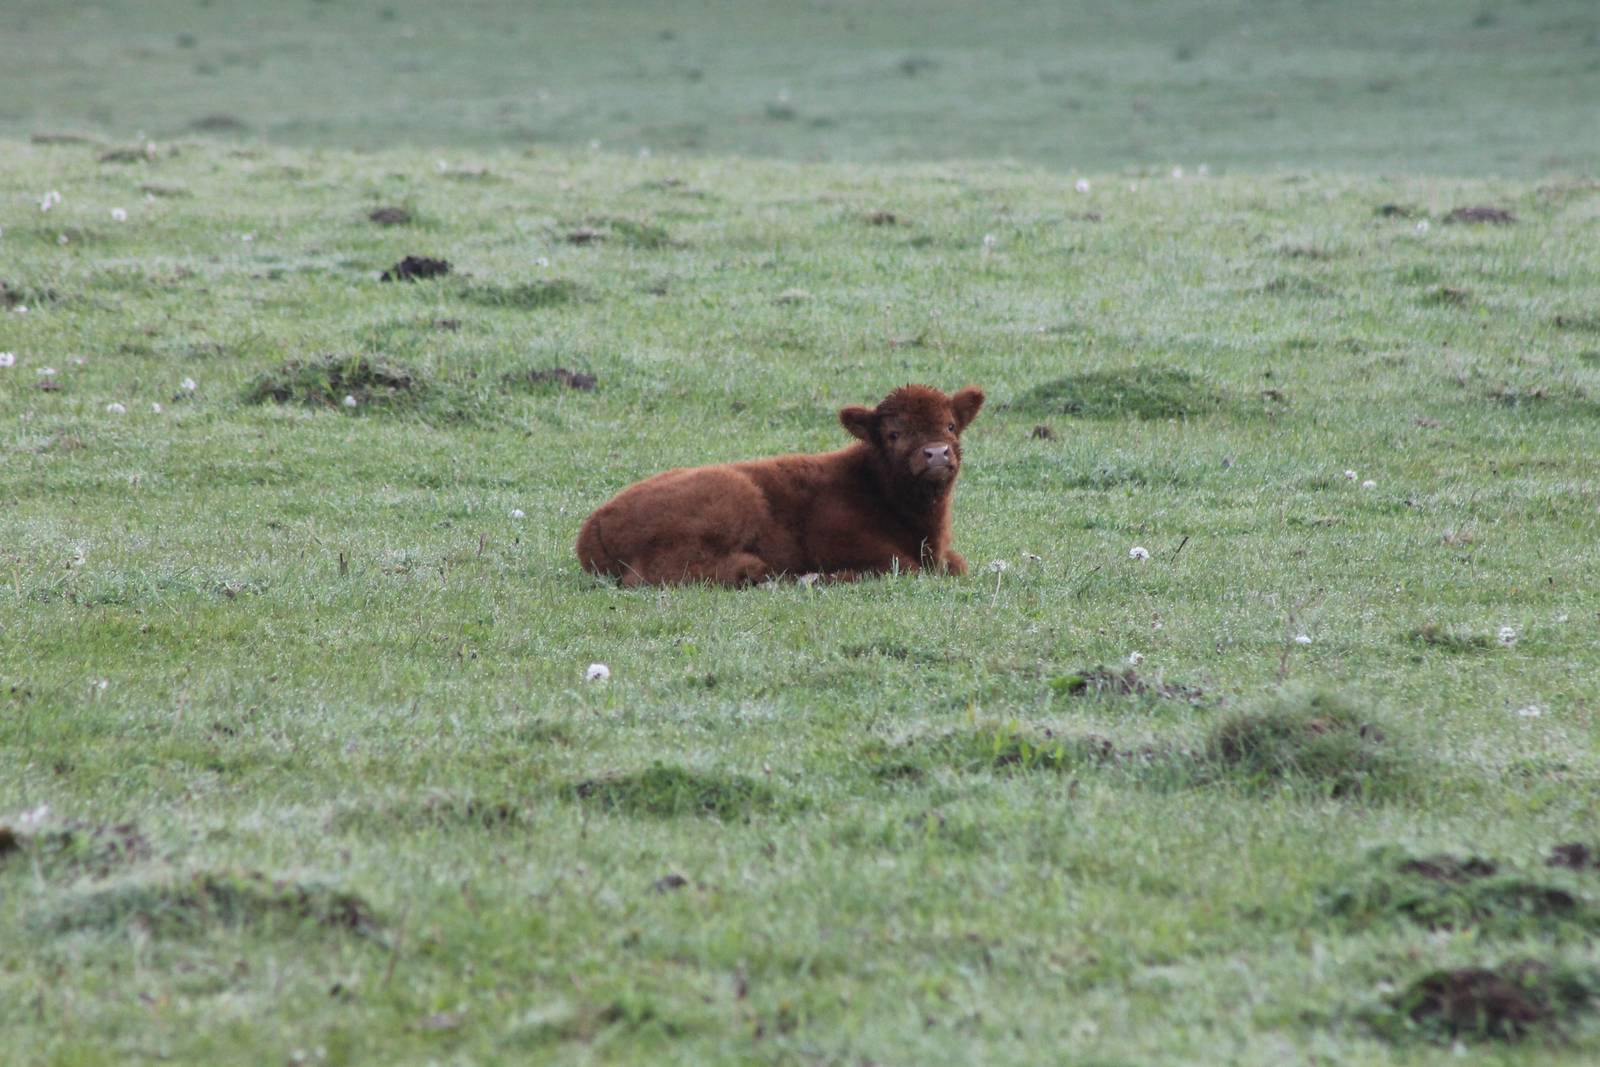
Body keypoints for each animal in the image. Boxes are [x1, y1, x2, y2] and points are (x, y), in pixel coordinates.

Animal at [576, 384, 984, 586]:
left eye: (950, 425)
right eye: (894, 433)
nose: (936, 454)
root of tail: (593, 525)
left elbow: (956, 564)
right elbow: (904, 566)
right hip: (735, 492)